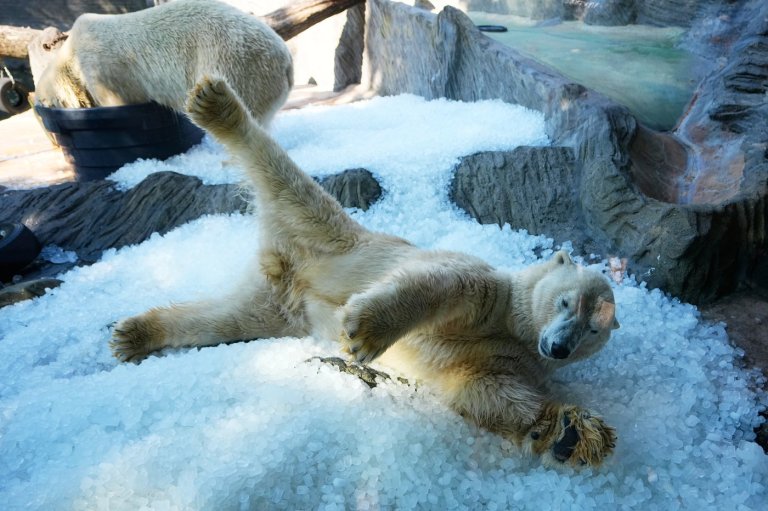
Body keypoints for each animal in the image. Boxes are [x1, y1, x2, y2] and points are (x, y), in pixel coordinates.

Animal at [32, 0, 293, 127]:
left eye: (44, 100)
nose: (40, 110)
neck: (72, 53)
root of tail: (286, 60)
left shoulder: (102, 68)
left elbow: (118, 101)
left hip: (236, 65)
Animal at [111, 76, 621, 468]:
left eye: (594, 329)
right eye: (566, 302)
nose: (559, 346)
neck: (514, 326)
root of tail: (285, 265)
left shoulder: (508, 359)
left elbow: (485, 390)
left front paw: (570, 433)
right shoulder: (484, 288)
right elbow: (442, 287)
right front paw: (365, 333)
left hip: (280, 308)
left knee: (225, 319)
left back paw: (134, 334)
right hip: (329, 232)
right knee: (284, 177)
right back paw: (216, 105)